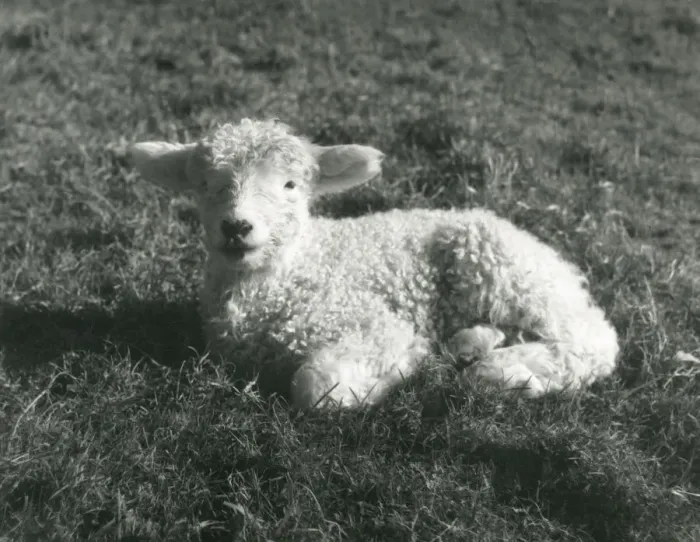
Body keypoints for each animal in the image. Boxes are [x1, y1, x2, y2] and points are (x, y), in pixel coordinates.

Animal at [129, 118, 620, 409]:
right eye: (204, 184)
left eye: (290, 185)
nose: (236, 227)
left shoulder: (372, 322)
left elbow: (317, 387)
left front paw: (398, 371)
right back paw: (473, 343)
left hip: (504, 272)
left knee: (592, 340)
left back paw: (505, 371)